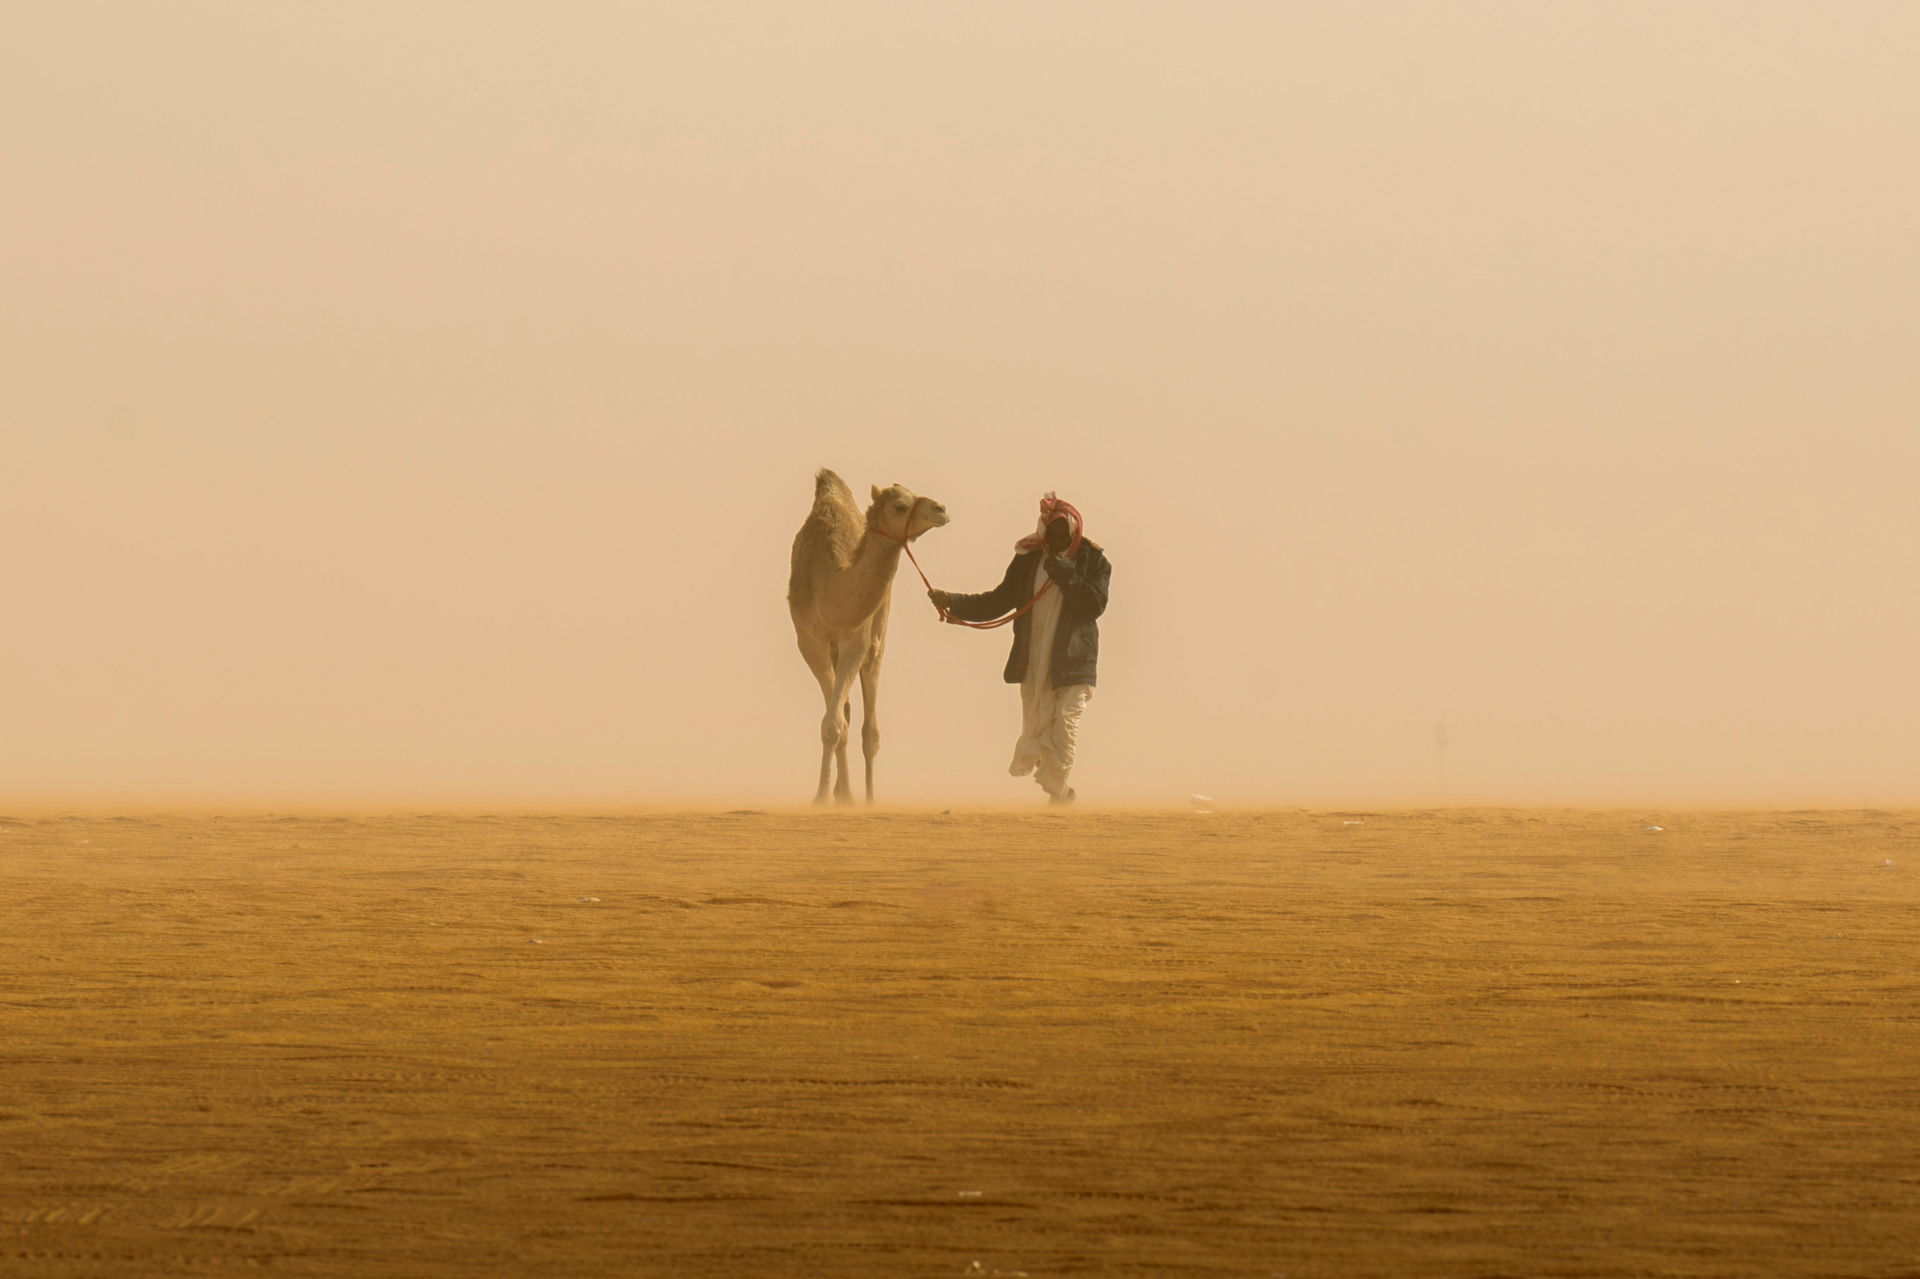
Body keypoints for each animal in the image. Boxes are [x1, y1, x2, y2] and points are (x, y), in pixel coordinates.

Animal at [787, 469, 949, 805]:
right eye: (901, 506)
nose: (941, 509)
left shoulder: (857, 640)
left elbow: (838, 723)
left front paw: (842, 798)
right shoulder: (809, 642)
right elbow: (833, 723)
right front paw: (824, 796)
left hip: (878, 637)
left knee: (869, 729)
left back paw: (867, 798)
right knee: (847, 715)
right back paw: (843, 792)